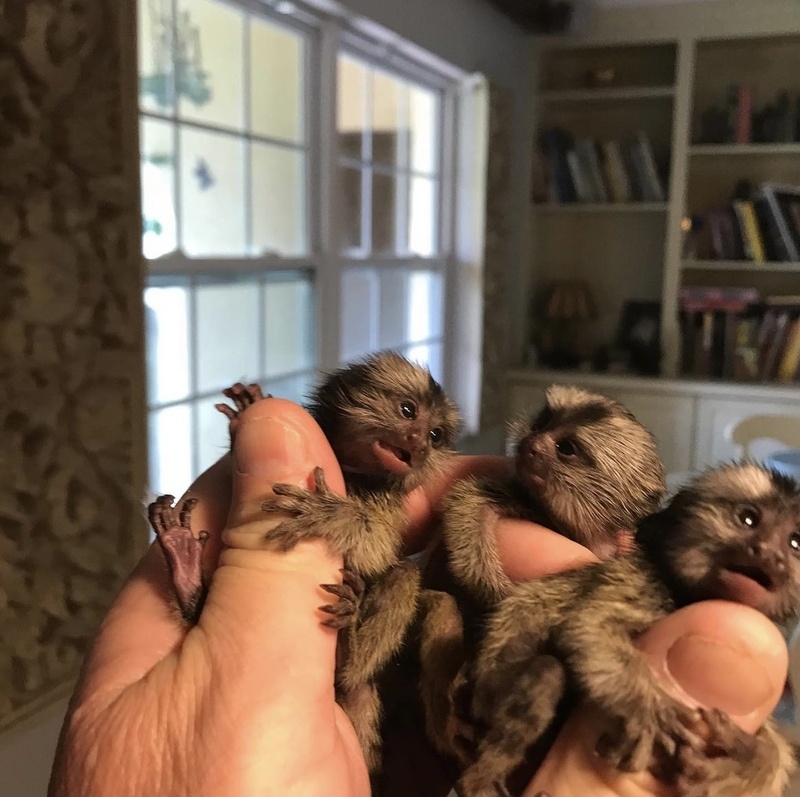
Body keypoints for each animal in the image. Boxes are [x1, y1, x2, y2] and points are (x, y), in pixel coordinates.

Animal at [457, 462, 800, 797]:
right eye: (748, 519)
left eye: (794, 543)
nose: (771, 554)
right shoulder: (642, 579)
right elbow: (588, 624)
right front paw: (647, 707)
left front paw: (751, 764)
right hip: (487, 692)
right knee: (546, 674)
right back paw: (479, 782)